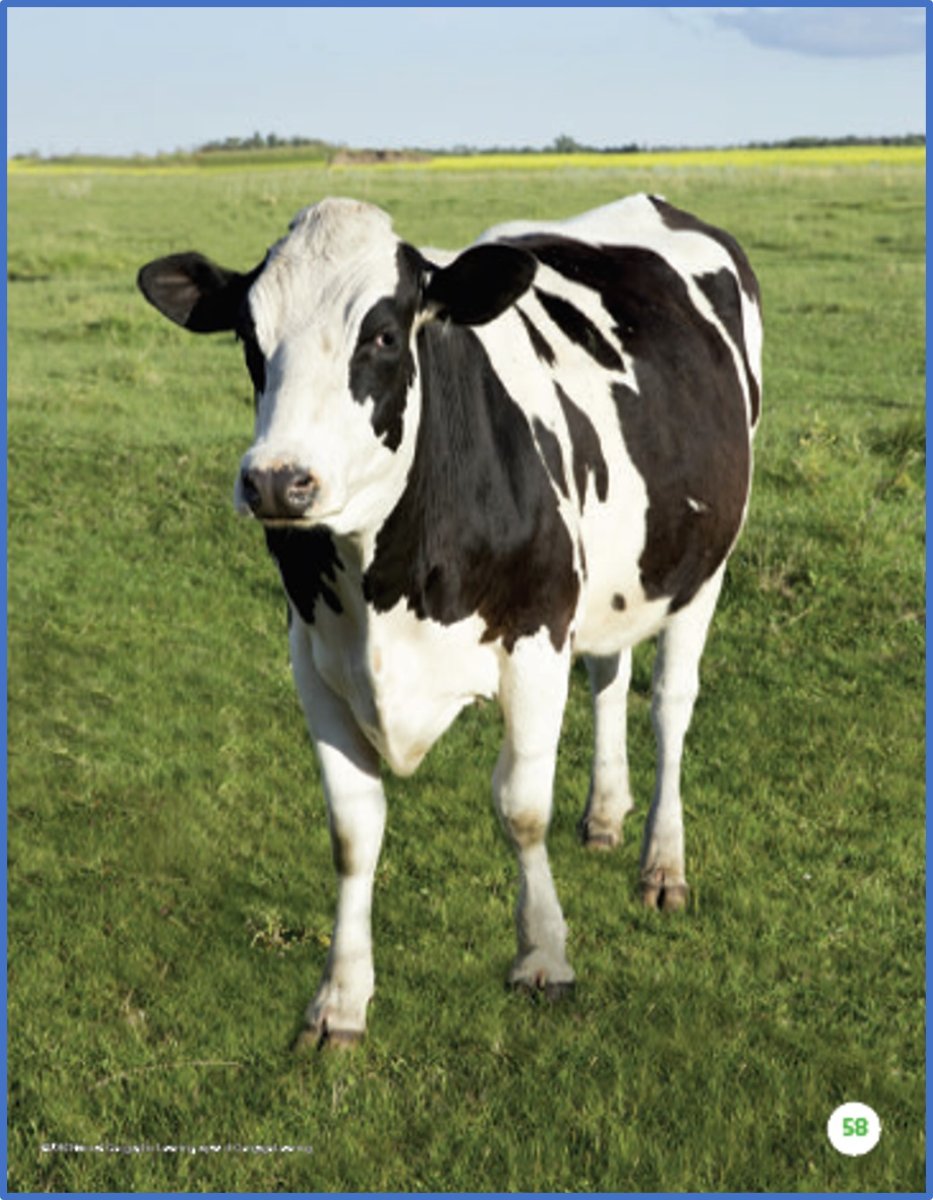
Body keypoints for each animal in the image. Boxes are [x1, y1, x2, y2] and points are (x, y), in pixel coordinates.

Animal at [137, 194, 762, 1047]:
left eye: (383, 334)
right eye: (247, 335)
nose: (276, 482)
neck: (386, 577)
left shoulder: (534, 641)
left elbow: (520, 810)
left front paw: (542, 956)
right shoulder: (315, 665)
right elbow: (352, 831)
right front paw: (339, 1000)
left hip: (702, 565)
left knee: (669, 705)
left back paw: (660, 863)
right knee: (608, 672)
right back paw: (604, 816)